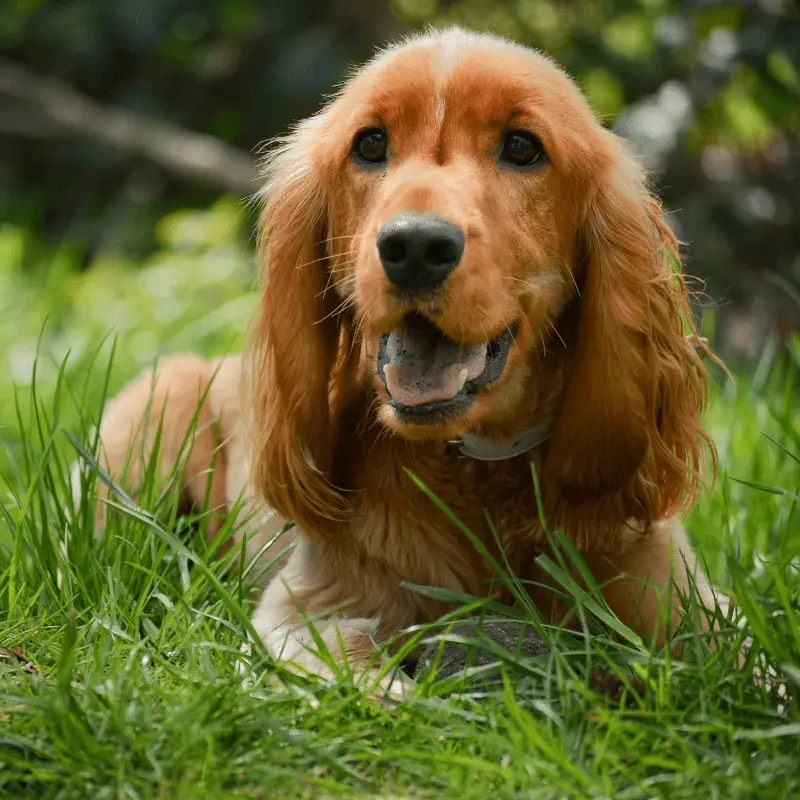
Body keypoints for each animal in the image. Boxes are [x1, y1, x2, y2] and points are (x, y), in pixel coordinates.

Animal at [76, 25, 724, 688]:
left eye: (522, 148)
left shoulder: (688, 606)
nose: (414, 246)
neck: (475, 469)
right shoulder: (301, 612)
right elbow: (363, 678)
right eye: (370, 144)